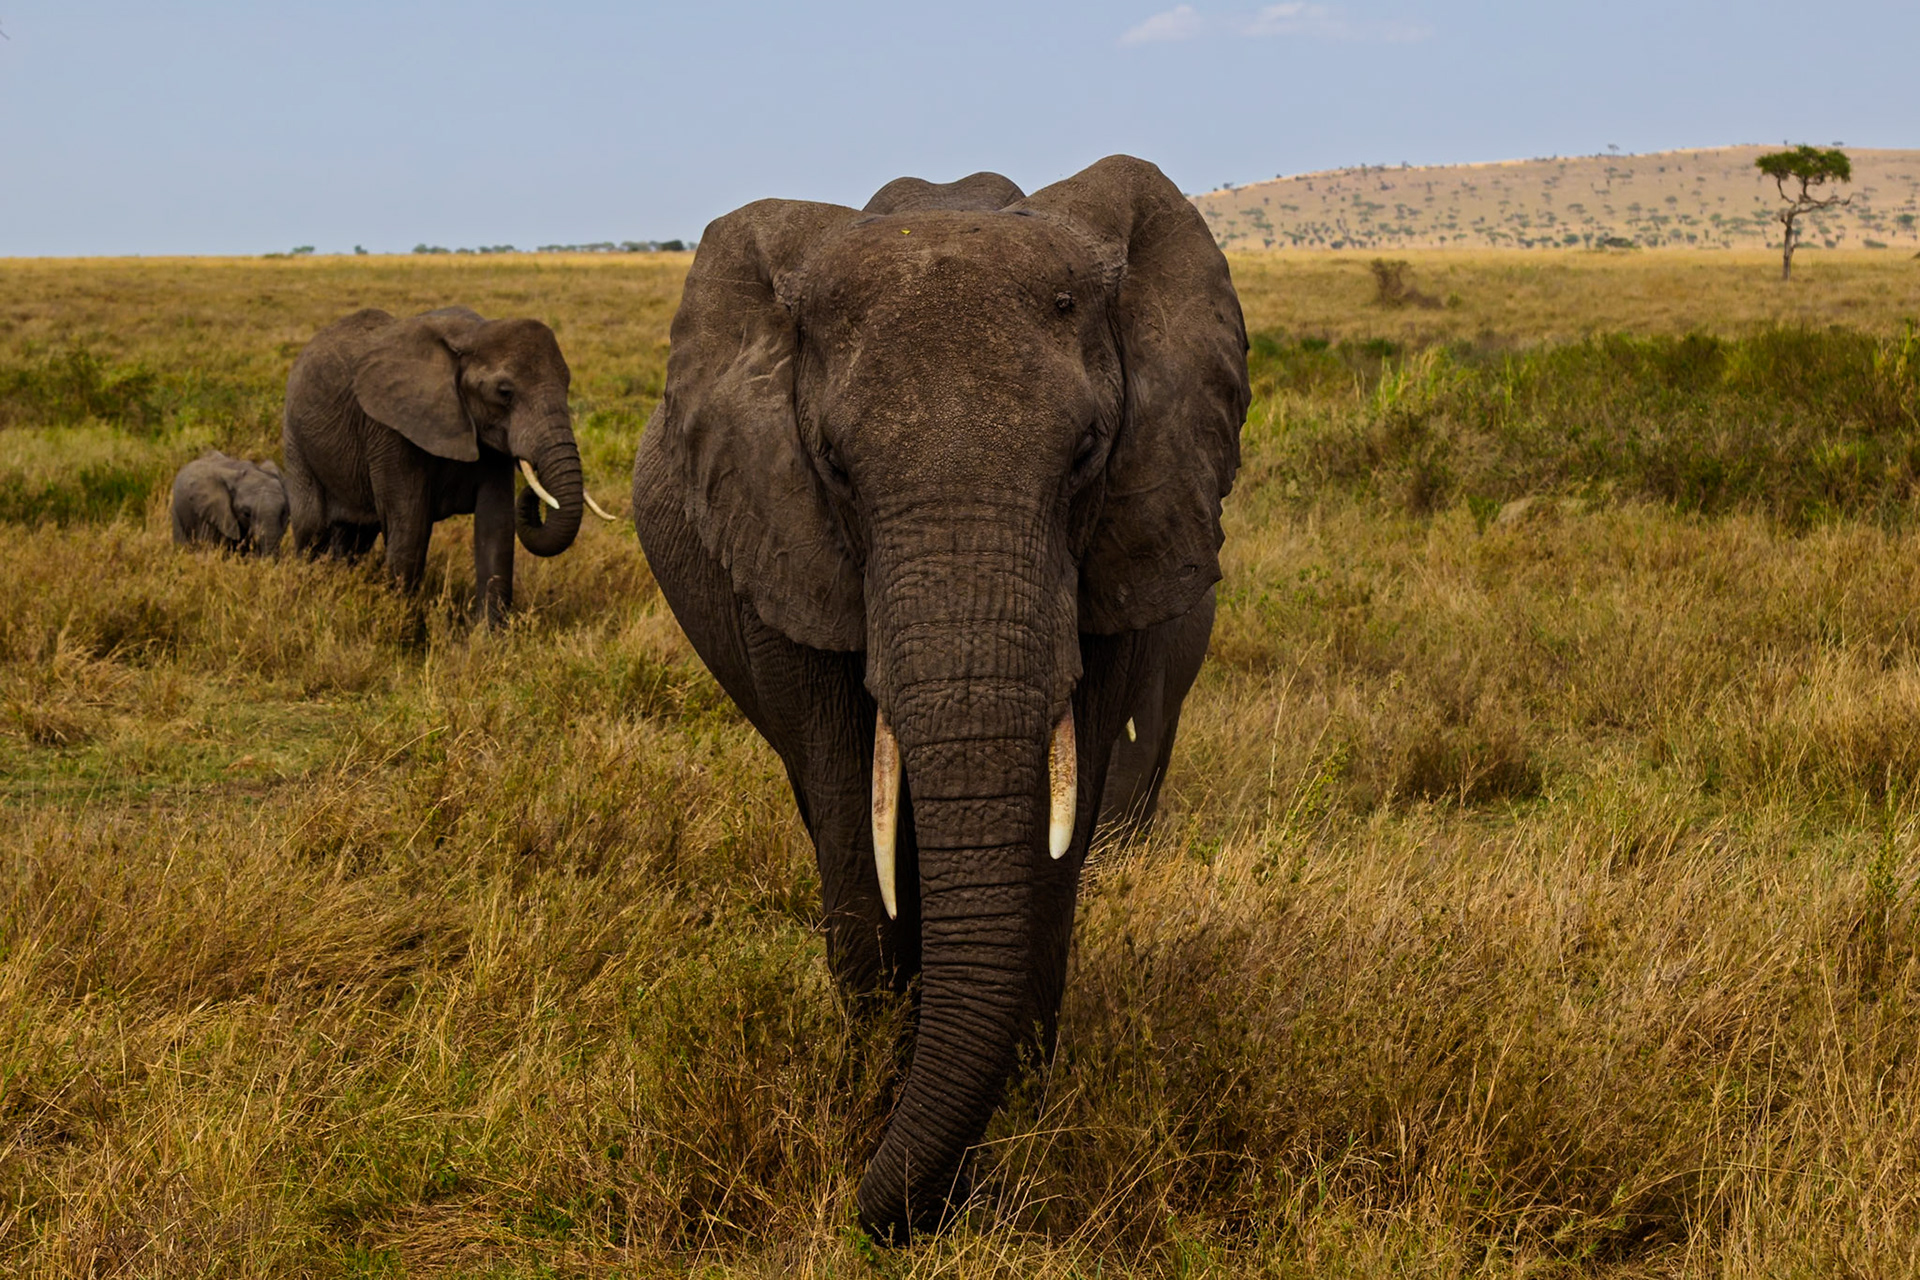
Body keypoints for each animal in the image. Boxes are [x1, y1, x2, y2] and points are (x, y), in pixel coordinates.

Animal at [281, 306, 613, 624]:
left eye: (567, 385)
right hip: (296, 438)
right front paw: (402, 629)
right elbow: (410, 529)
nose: (537, 484)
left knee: (356, 537)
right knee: (312, 528)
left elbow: (496, 528)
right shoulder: (392, 430)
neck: (471, 334)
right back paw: (308, 592)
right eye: (504, 393)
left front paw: (488, 636)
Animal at [632, 154, 1249, 1240]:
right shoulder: (786, 548)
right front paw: (884, 1124)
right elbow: (854, 835)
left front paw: (1015, 1152)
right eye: (836, 467)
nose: (872, 1210)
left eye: (1087, 453)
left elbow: (1050, 858)